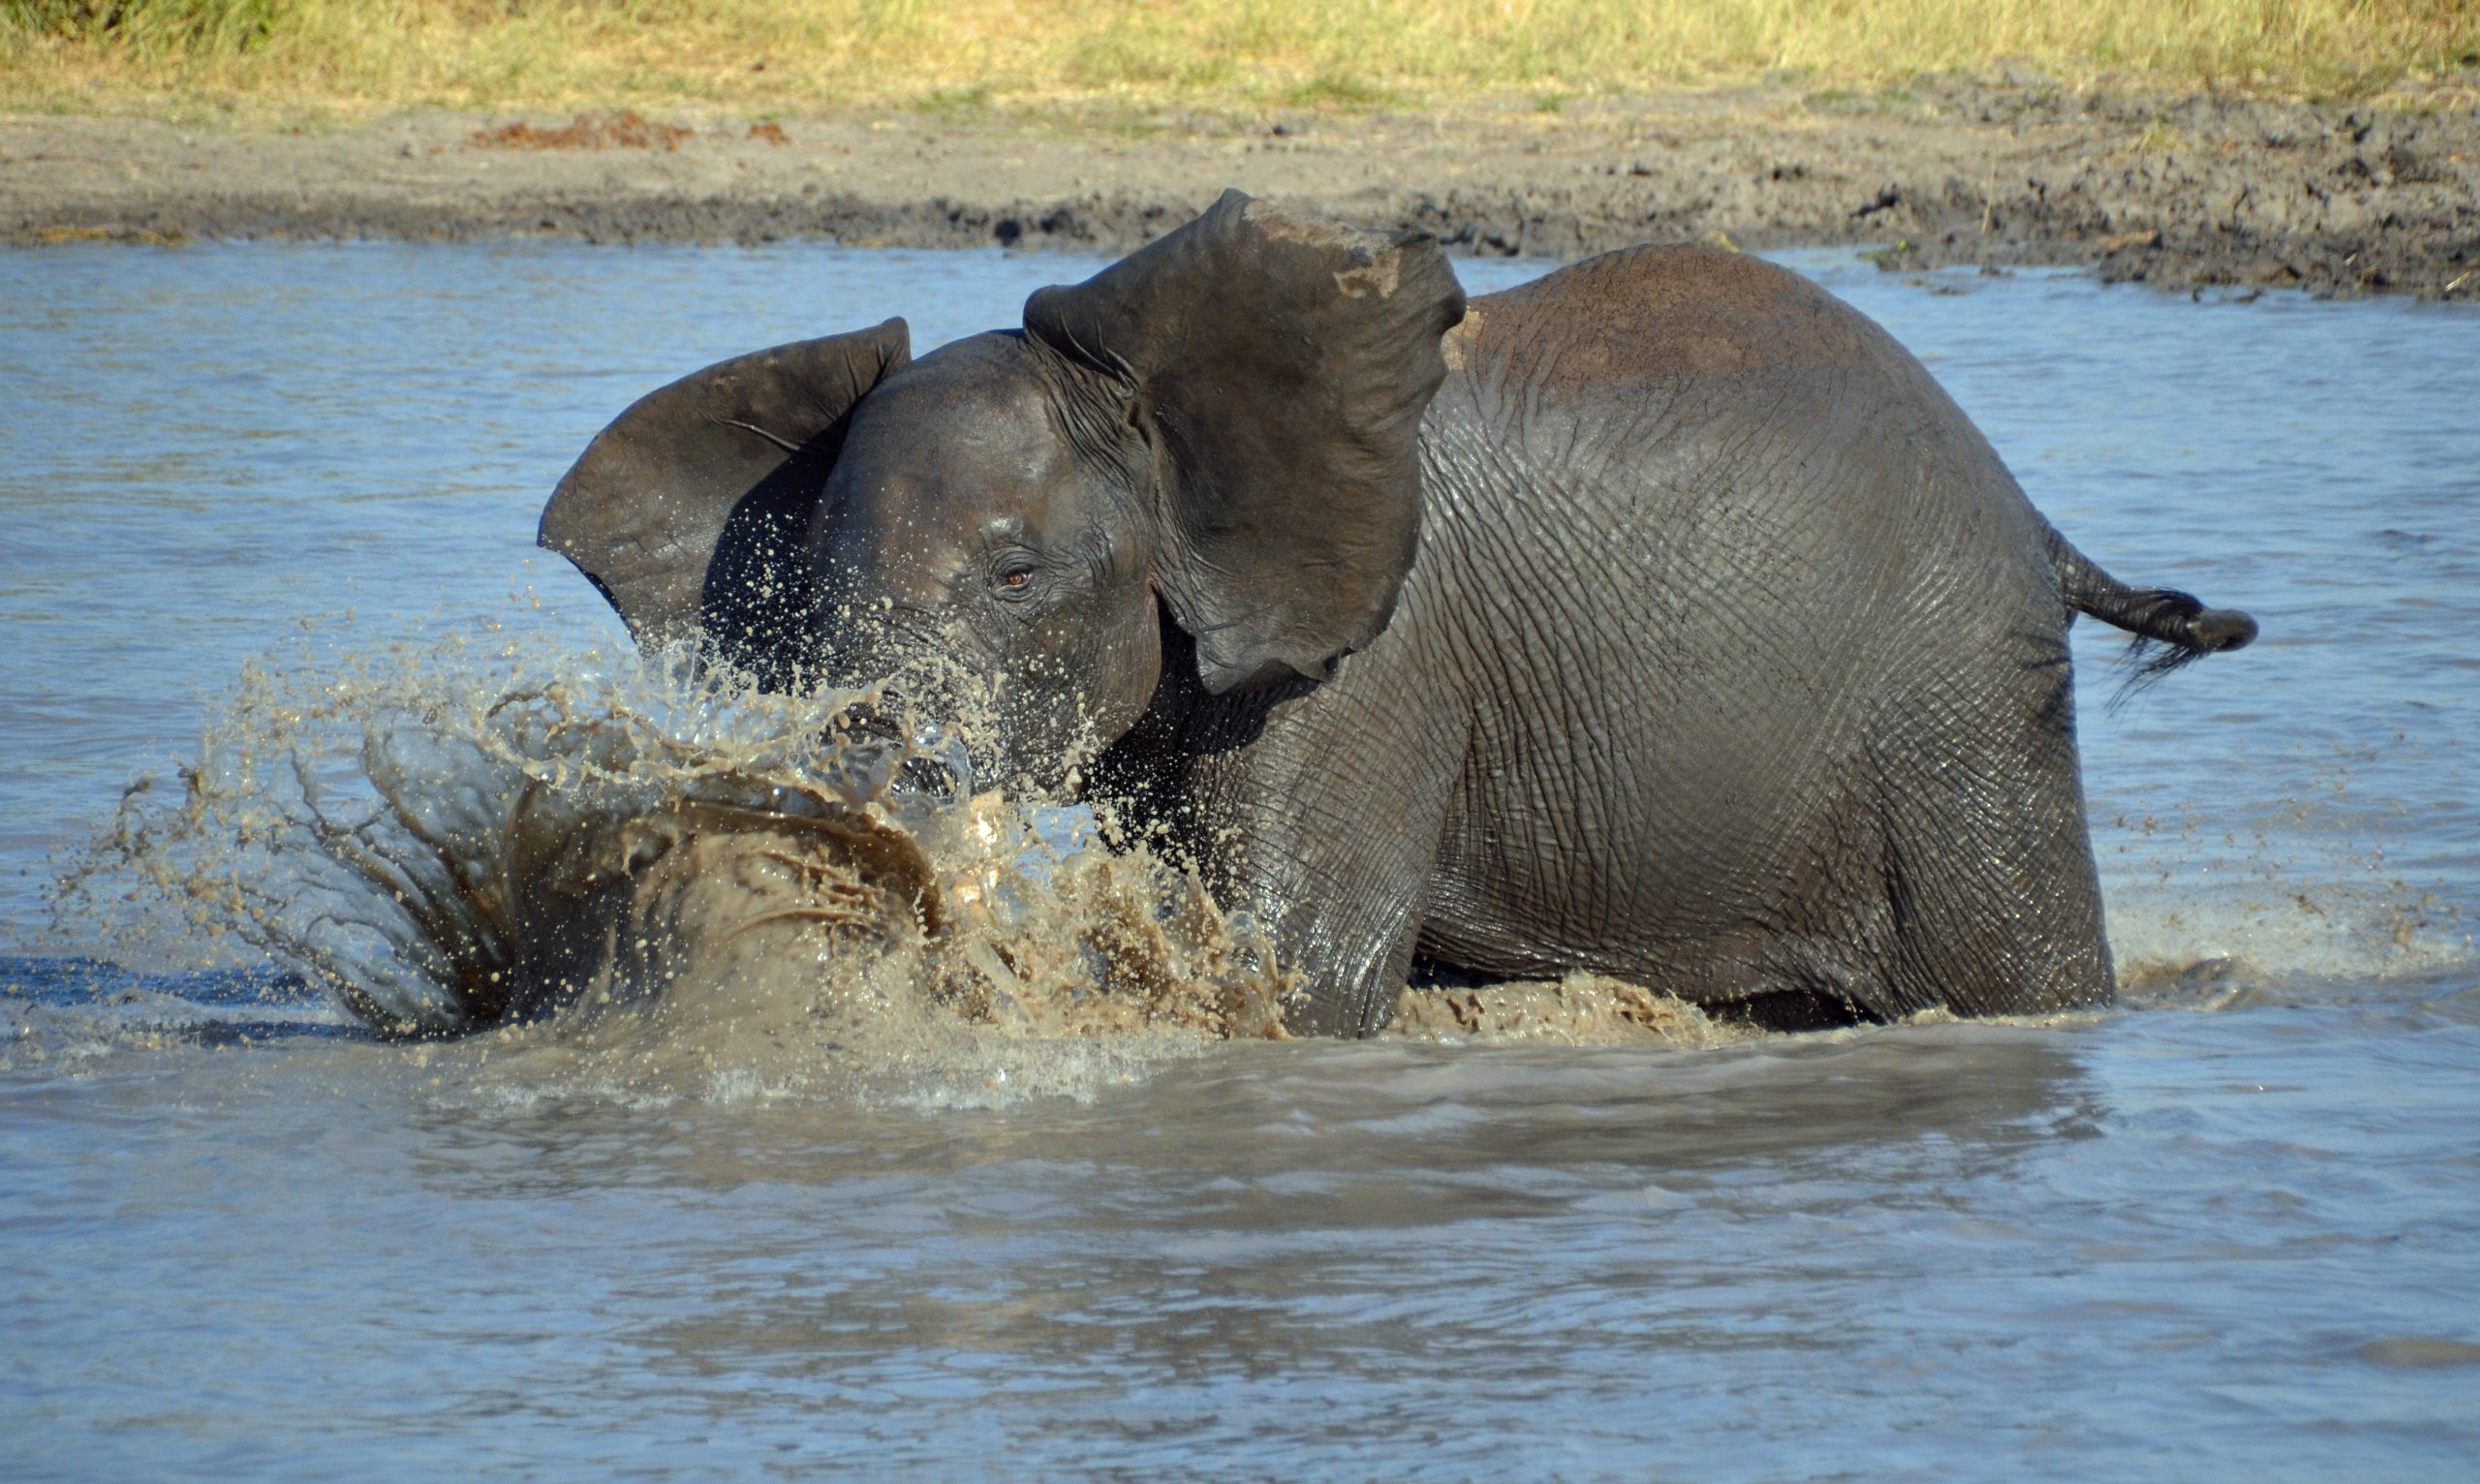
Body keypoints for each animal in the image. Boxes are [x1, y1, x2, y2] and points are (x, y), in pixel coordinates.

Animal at [538, 189, 2257, 1036]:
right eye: (803, 606)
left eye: (1017, 579)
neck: (1166, 408)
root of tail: (2035, 521)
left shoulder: (1373, 664)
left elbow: (1288, 979)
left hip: (1956, 708)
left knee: (2016, 966)